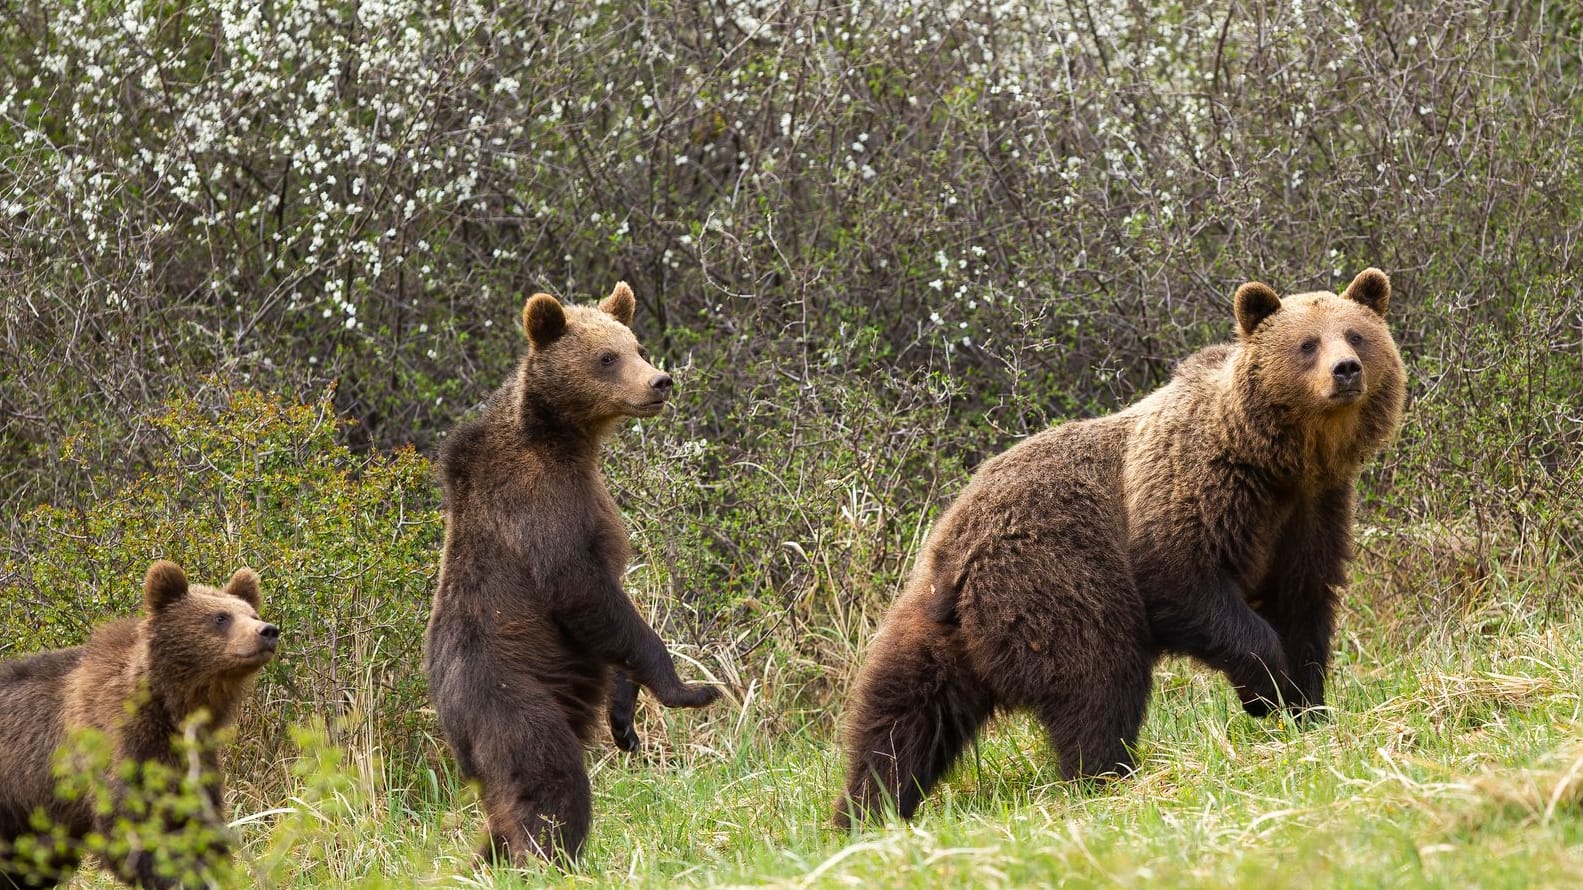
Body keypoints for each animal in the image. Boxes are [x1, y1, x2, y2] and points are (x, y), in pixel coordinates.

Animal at [0, 557, 278, 880]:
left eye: (252, 613)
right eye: (220, 617)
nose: (268, 631)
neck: (171, 706)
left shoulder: (189, 759)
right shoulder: (116, 746)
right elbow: (133, 827)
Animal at [421, 277, 718, 861]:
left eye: (636, 345)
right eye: (606, 357)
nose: (660, 381)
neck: (564, 439)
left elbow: (612, 617)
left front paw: (624, 718)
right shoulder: (540, 504)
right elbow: (583, 590)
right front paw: (690, 688)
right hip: (510, 699)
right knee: (549, 779)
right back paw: (549, 856)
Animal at [835, 266, 1405, 823]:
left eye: (1356, 333)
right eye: (1307, 343)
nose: (1346, 369)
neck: (1278, 461)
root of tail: (959, 553)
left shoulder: (1312, 513)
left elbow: (1303, 603)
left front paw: (1307, 706)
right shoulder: (1193, 488)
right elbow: (1182, 581)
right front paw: (1266, 689)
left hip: (930, 621)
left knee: (901, 712)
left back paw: (866, 809)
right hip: (1056, 579)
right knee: (1098, 680)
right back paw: (1107, 777)